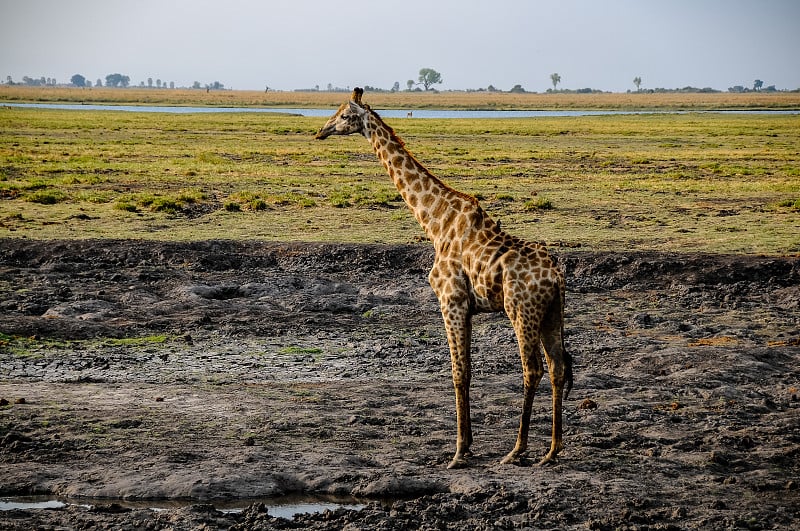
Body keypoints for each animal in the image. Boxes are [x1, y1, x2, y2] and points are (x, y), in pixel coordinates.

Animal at [316, 88, 572, 470]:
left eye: (345, 116)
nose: (321, 130)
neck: (434, 222)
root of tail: (555, 276)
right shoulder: (465, 307)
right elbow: (466, 371)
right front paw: (468, 446)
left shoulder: (451, 301)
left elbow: (458, 372)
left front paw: (460, 451)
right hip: (552, 313)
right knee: (556, 368)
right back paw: (552, 450)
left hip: (521, 312)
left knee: (533, 370)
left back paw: (517, 450)